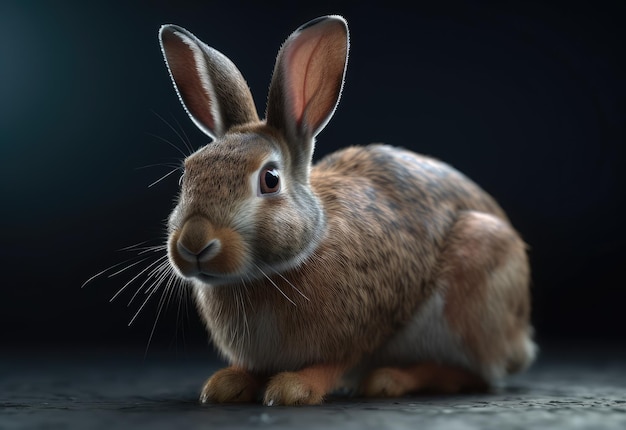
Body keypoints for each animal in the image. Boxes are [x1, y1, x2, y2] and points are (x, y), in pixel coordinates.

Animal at [158, 14, 532, 406]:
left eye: (270, 179)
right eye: (186, 174)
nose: (194, 242)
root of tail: (521, 339)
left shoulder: (365, 322)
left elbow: (335, 362)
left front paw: (295, 388)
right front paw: (226, 384)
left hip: (474, 281)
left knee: (474, 374)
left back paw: (391, 379)